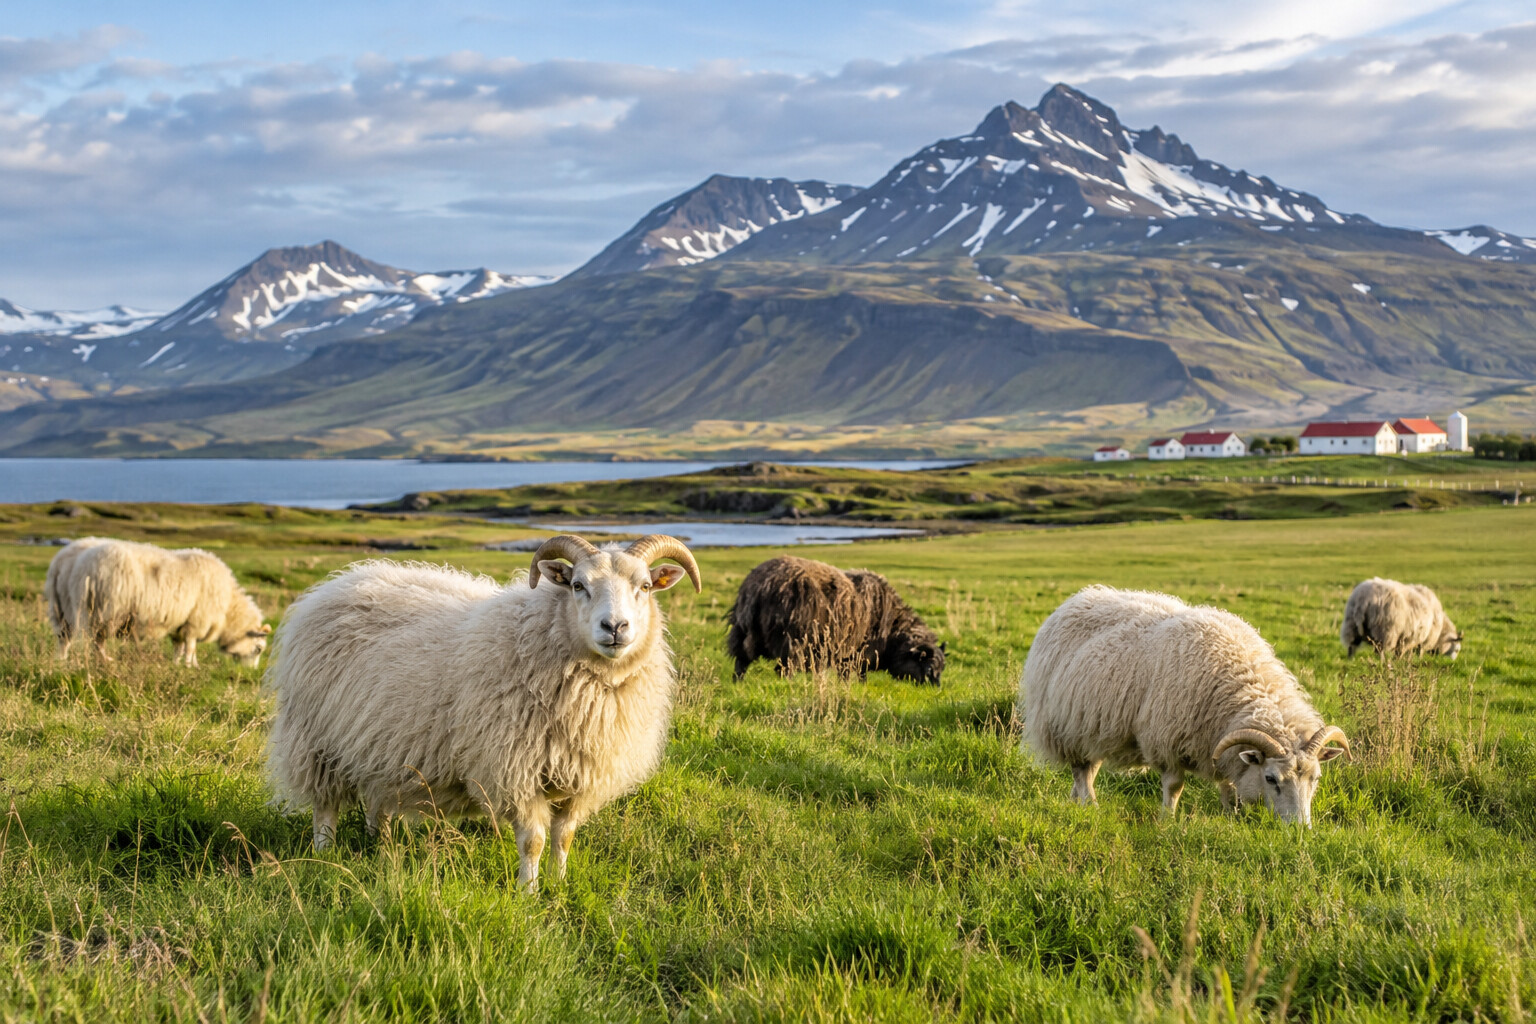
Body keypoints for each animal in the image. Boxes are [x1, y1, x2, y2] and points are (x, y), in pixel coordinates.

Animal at [44, 537, 270, 667]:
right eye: (258, 649)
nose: (251, 671)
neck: (229, 610)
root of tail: (63, 561)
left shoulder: (181, 625)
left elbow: (180, 647)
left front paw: (178, 665)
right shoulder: (195, 623)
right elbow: (191, 648)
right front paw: (190, 667)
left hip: (62, 611)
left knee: (65, 639)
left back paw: (61, 660)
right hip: (101, 611)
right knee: (95, 642)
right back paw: (104, 661)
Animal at [263, 534, 701, 889]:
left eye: (645, 586)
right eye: (578, 585)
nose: (615, 627)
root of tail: (336, 584)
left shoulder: (580, 779)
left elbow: (564, 838)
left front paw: (559, 885)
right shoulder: (516, 771)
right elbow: (534, 841)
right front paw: (529, 893)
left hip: (378, 745)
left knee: (379, 800)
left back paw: (380, 848)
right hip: (318, 743)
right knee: (325, 807)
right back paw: (325, 855)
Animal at [725, 555, 945, 684]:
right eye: (929, 668)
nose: (935, 690)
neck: (893, 628)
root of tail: (762, 586)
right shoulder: (856, 653)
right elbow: (855, 676)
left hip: (742, 631)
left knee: (741, 662)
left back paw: (738, 684)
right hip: (791, 642)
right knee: (783, 670)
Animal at [1020, 585, 1348, 825]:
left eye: (1315, 779)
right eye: (1270, 779)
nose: (1301, 830)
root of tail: (1074, 600)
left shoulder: (1218, 745)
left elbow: (1228, 786)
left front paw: (1231, 816)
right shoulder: (1167, 742)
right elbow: (1174, 787)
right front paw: (1167, 821)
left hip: (1093, 725)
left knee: (1088, 767)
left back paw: (1076, 802)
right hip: (1065, 727)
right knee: (1081, 771)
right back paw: (1091, 806)